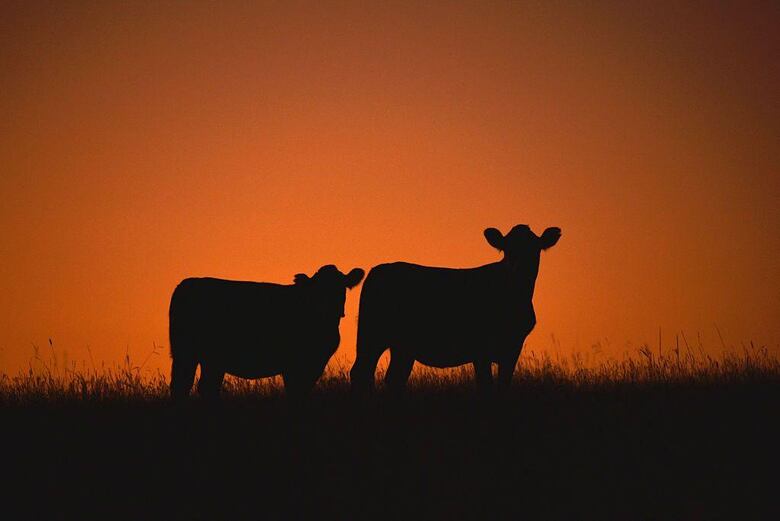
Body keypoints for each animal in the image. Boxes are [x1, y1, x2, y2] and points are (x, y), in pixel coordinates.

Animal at [169, 265, 365, 400]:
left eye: (341, 287)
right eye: (318, 289)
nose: (332, 308)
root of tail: (187, 283)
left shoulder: (315, 363)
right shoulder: (293, 364)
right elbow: (295, 391)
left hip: (207, 359)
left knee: (202, 386)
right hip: (189, 353)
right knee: (184, 385)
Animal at [350, 225, 561, 395]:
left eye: (535, 249)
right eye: (507, 249)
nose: (518, 268)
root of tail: (379, 269)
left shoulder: (513, 346)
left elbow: (503, 384)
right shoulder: (480, 348)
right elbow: (485, 384)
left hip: (402, 346)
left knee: (394, 378)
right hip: (372, 334)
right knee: (361, 372)